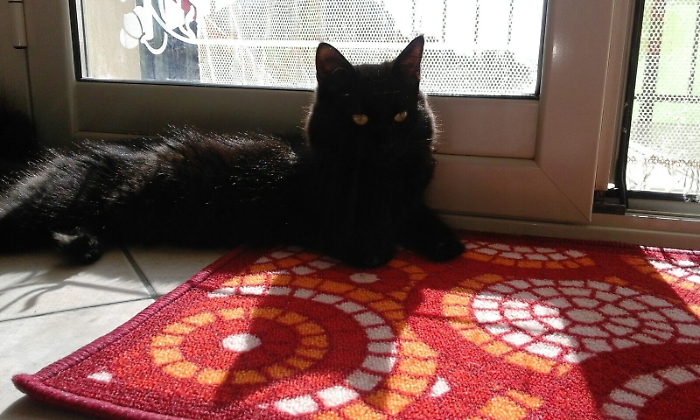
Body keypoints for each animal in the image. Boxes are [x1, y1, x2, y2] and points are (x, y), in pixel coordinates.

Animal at [0, 36, 465, 268]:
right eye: (360, 119)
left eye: (401, 115)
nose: (385, 142)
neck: (381, 178)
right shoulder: (328, 216)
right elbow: (368, 236)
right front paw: (375, 249)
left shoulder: (409, 198)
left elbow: (416, 215)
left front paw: (446, 242)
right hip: (54, 202)